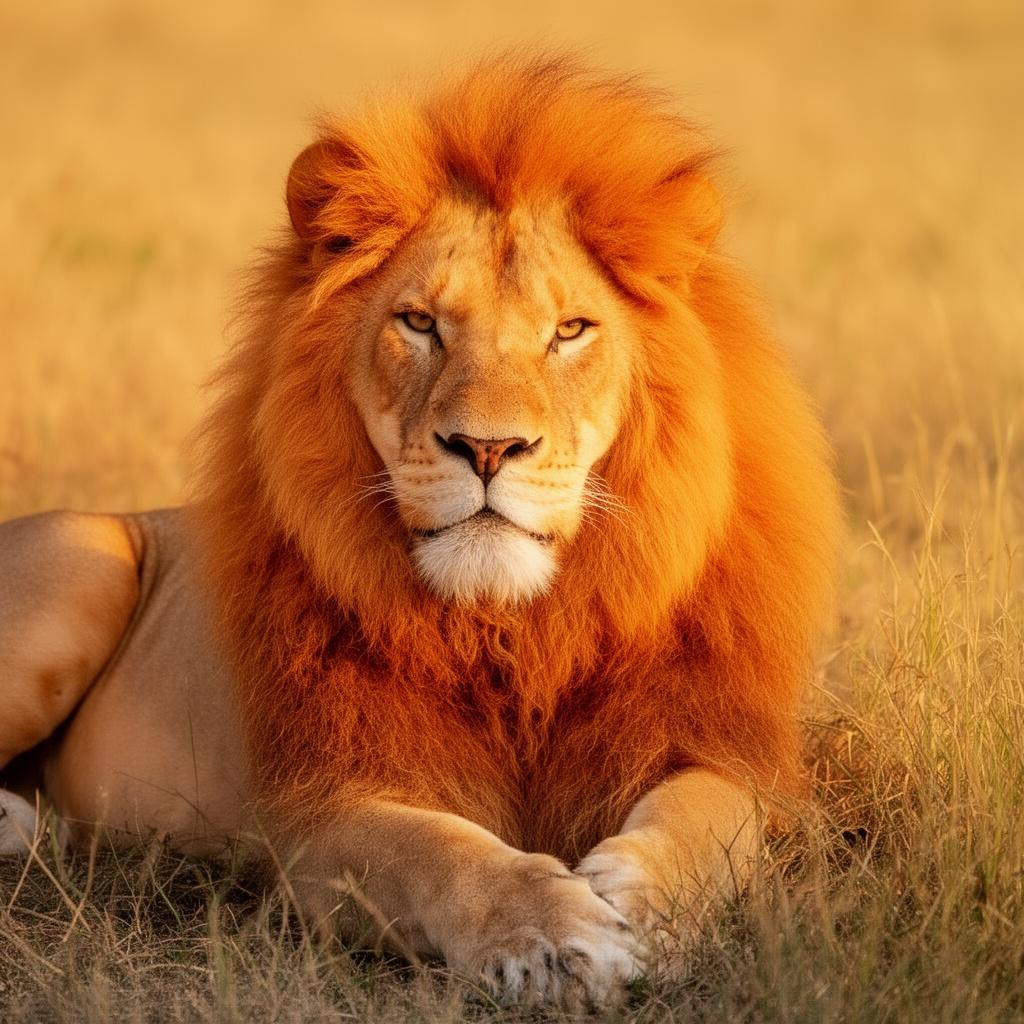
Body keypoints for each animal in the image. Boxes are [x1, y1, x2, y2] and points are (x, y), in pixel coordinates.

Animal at [0, 55, 840, 1009]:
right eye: (420, 323)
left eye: (570, 331)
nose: (488, 448)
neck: (511, 631)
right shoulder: (321, 816)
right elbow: (439, 853)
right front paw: (554, 934)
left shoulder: (716, 744)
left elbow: (710, 818)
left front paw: (642, 902)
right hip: (85, 567)